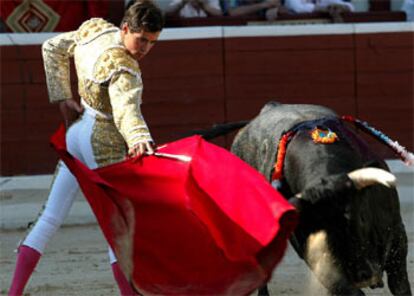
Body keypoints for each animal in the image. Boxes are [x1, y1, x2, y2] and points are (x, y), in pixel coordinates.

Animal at [194, 102, 410, 296]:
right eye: (319, 230)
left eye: (361, 218)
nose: (363, 275)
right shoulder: (318, 259)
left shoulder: (398, 238)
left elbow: (400, 286)